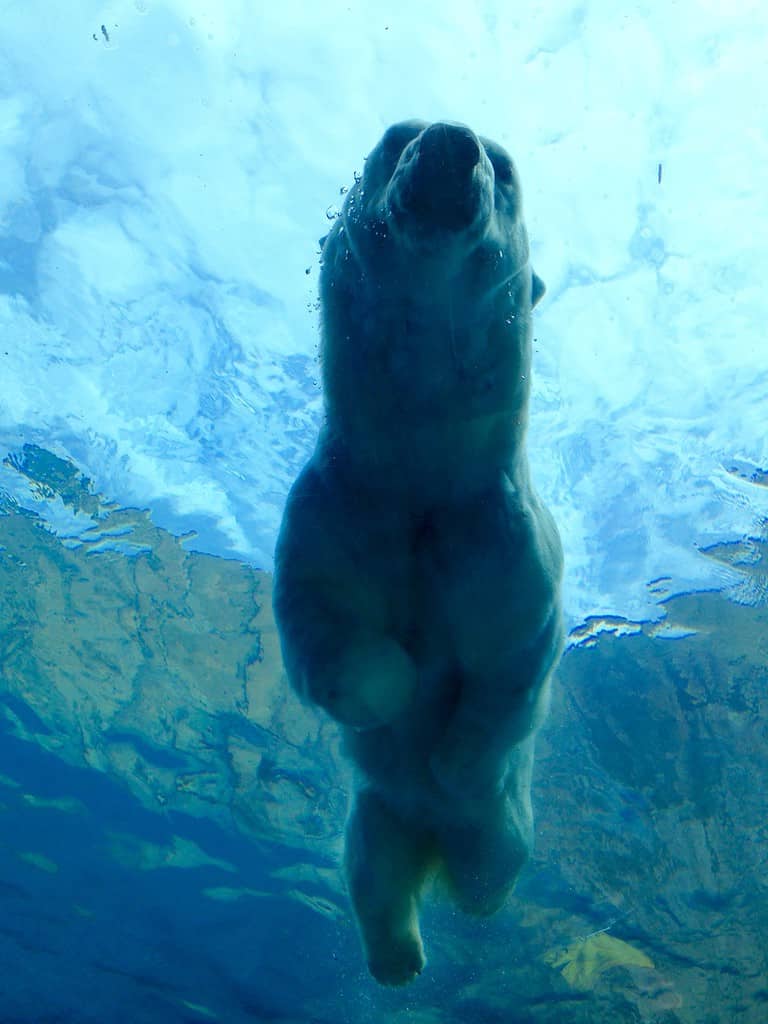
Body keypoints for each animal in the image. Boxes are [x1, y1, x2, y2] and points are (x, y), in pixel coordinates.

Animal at [273, 120, 563, 986]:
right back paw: (397, 956)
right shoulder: (342, 506)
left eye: (504, 167)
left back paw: (465, 888)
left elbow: (513, 663)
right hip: (375, 812)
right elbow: (320, 629)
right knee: (370, 868)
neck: (423, 473)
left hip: (507, 826)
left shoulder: (502, 541)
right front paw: (396, 685)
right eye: (394, 137)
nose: (450, 142)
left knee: (492, 863)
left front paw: (454, 760)